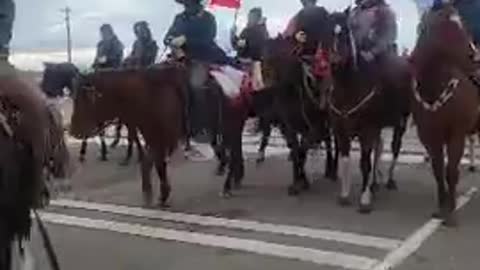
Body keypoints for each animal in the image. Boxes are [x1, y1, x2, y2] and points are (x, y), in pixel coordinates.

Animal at [260, 35, 336, 196]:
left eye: (279, 58)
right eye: (263, 59)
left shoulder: (314, 128)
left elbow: (302, 151)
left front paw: (302, 181)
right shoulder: (291, 128)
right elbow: (296, 151)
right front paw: (298, 181)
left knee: (331, 141)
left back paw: (332, 170)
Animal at [330, 10, 412, 212]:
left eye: (345, 33)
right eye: (328, 32)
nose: (334, 62)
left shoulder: (367, 129)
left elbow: (365, 163)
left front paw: (365, 199)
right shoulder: (341, 131)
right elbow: (345, 160)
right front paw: (344, 195)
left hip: (401, 122)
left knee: (394, 147)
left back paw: (389, 180)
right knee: (379, 147)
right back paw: (375, 183)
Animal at [406, 5, 478, 227]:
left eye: (462, 23)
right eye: (446, 27)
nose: (475, 57)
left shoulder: (457, 134)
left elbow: (451, 171)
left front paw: (451, 212)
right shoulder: (430, 136)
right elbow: (438, 170)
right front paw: (441, 207)